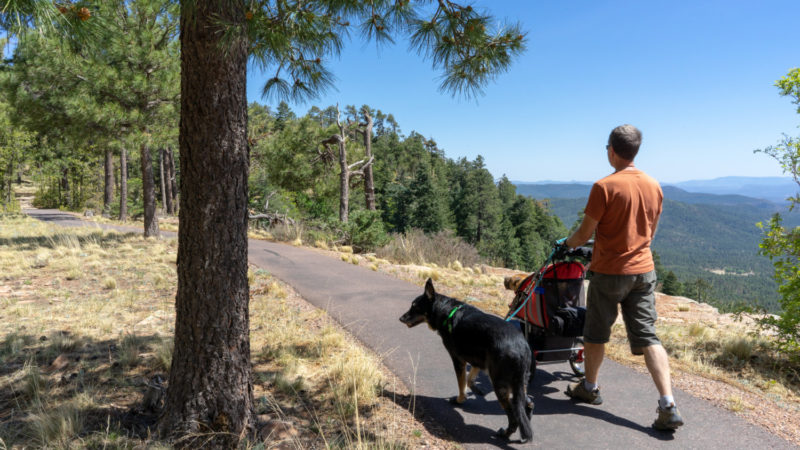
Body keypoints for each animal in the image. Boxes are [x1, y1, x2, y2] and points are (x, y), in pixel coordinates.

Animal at [398, 278, 536, 442]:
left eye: (415, 306)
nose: (400, 319)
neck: (446, 311)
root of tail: (522, 347)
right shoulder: (477, 360)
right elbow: (469, 379)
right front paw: (476, 389)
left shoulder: (458, 360)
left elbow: (461, 384)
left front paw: (460, 400)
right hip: (519, 385)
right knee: (527, 404)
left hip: (500, 385)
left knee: (514, 415)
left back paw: (505, 434)